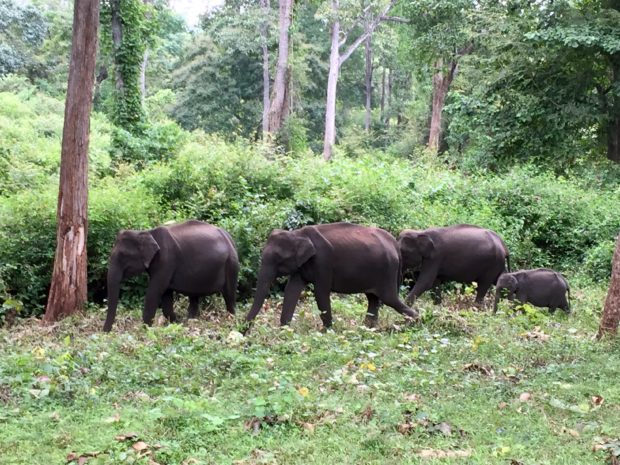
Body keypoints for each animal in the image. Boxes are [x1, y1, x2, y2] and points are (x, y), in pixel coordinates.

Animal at [103, 220, 239, 332]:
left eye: (123, 255)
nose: (105, 332)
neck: (147, 232)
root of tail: (230, 238)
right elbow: (166, 295)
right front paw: (176, 324)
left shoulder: (166, 261)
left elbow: (155, 291)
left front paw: (144, 329)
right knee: (194, 298)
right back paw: (190, 321)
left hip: (231, 264)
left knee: (229, 295)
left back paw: (231, 319)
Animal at [245, 222, 418, 328]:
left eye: (278, 258)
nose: (244, 332)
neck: (297, 233)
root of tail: (394, 244)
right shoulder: (301, 266)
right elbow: (291, 290)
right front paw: (285, 330)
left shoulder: (323, 261)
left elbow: (320, 292)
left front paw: (327, 331)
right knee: (373, 299)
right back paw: (368, 328)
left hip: (387, 271)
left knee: (389, 298)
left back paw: (416, 321)